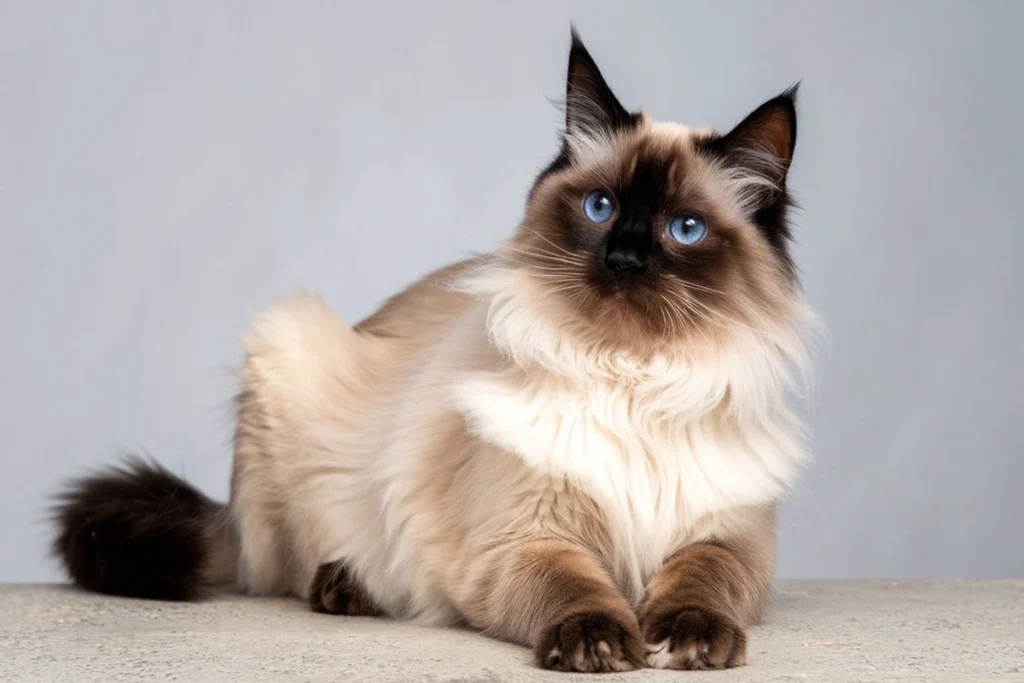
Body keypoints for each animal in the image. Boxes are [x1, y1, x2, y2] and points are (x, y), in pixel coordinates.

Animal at [54, 29, 815, 671]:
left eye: (683, 228)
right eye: (600, 209)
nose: (624, 259)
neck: (628, 373)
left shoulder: (728, 539)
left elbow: (703, 581)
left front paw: (689, 637)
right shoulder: (526, 540)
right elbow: (575, 588)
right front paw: (598, 643)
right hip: (289, 343)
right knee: (284, 573)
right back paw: (345, 586)